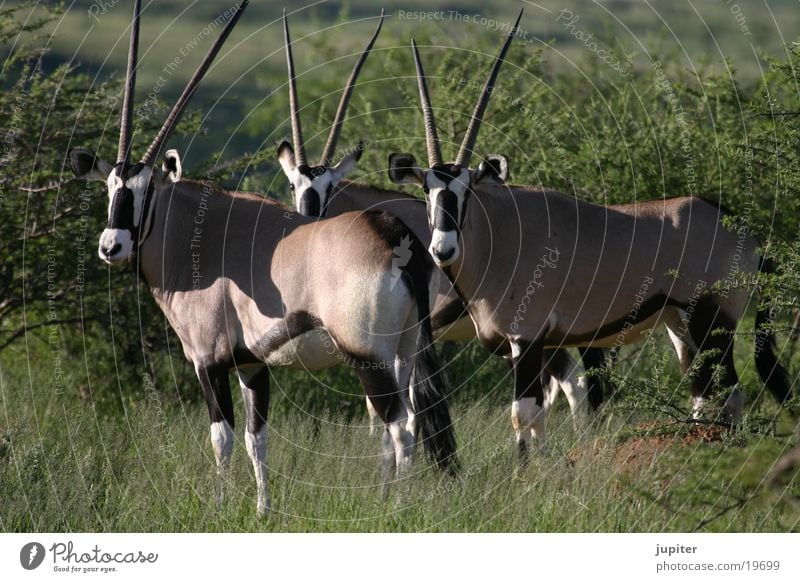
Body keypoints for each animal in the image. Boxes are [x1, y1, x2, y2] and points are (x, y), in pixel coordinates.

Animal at [69, 1, 456, 520]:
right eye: (110, 187)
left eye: (147, 188)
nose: (112, 246)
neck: (198, 237)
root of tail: (391, 232)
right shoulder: (253, 364)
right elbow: (258, 440)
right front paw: (262, 510)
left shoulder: (208, 362)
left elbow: (222, 440)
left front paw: (216, 509)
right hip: (405, 350)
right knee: (407, 423)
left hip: (367, 356)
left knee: (400, 429)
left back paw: (393, 509)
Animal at [388, 9, 792, 466]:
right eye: (427, 191)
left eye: (466, 191)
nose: (443, 248)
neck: (500, 236)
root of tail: (743, 231)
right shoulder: (529, 346)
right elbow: (537, 415)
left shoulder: (527, 341)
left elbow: (522, 413)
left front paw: (523, 472)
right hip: (680, 323)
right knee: (706, 392)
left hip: (713, 318)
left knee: (731, 392)